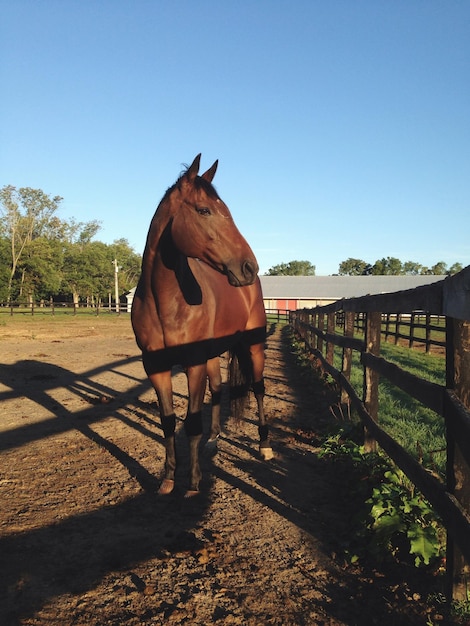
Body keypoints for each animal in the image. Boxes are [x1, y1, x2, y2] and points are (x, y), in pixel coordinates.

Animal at [132, 154, 272, 494]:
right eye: (204, 210)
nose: (249, 267)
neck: (165, 301)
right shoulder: (155, 366)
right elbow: (169, 421)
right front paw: (168, 478)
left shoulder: (192, 363)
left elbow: (192, 421)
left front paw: (193, 483)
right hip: (213, 354)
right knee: (219, 391)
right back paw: (213, 440)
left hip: (253, 346)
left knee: (259, 388)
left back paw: (264, 446)